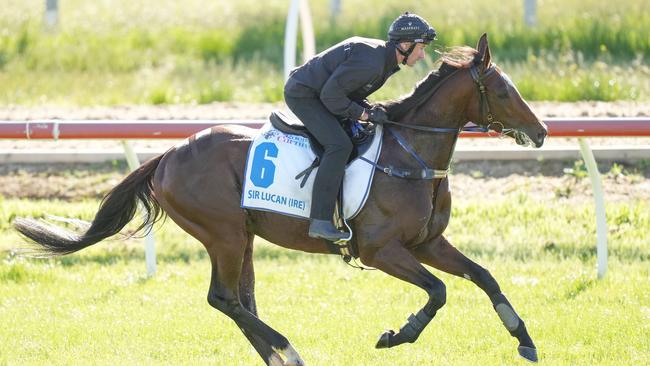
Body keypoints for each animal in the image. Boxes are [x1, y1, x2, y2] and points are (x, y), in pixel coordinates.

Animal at [15, 33, 544, 364]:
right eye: (503, 90)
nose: (540, 132)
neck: (409, 153)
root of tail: (166, 155)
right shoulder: (381, 250)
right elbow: (438, 291)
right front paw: (397, 335)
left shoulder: (426, 243)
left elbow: (484, 276)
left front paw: (525, 339)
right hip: (224, 234)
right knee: (224, 299)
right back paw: (288, 349)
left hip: (242, 236)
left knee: (241, 301)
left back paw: (280, 353)